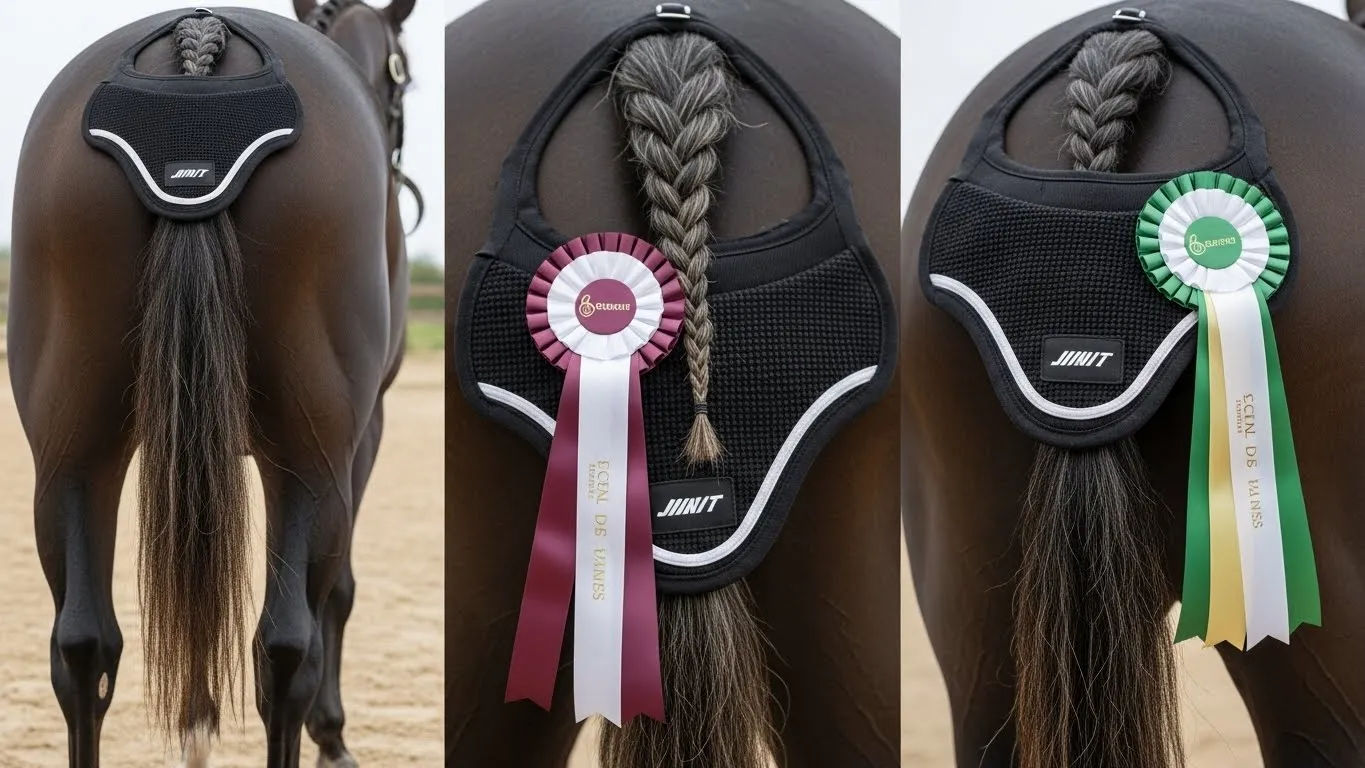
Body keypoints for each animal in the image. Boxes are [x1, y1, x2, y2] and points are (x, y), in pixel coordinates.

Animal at [9, 1, 414, 765]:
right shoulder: (366, 434)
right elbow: (340, 592)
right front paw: (333, 737)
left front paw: (196, 726)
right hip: (312, 453)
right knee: (285, 648)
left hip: (71, 445)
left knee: (83, 646)